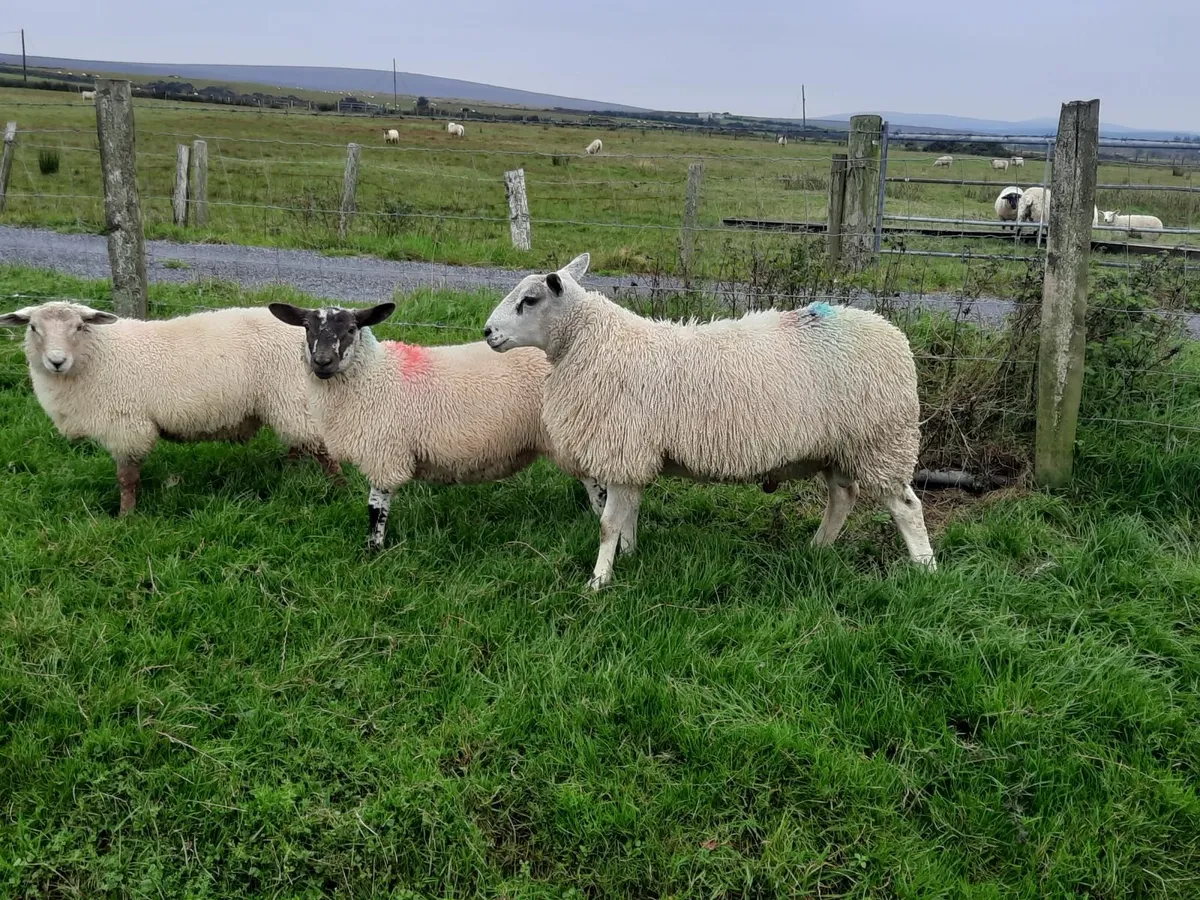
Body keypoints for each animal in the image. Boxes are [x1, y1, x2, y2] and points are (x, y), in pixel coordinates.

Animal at [0, 302, 338, 515]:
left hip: (292, 398)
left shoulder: (127, 426)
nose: (56, 361)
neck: (99, 355)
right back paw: (291, 476)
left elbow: (127, 479)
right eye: (33, 327)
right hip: (289, 402)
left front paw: (126, 518)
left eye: (80, 326)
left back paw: (338, 490)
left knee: (322, 449)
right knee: (299, 443)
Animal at [267, 302, 608, 552]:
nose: (322, 362)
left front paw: (373, 551)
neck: (374, 375)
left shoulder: (384, 454)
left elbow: (376, 509)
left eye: (351, 328)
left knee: (599, 489)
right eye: (307, 327)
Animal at [483, 253, 937, 589]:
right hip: (837, 446)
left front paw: (598, 582)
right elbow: (627, 516)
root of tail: (892, 333)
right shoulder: (634, 455)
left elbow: (608, 525)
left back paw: (925, 568)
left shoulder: (624, 448)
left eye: (530, 300)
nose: (487, 332)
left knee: (906, 506)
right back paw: (817, 548)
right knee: (842, 498)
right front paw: (630, 555)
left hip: (879, 439)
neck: (593, 343)